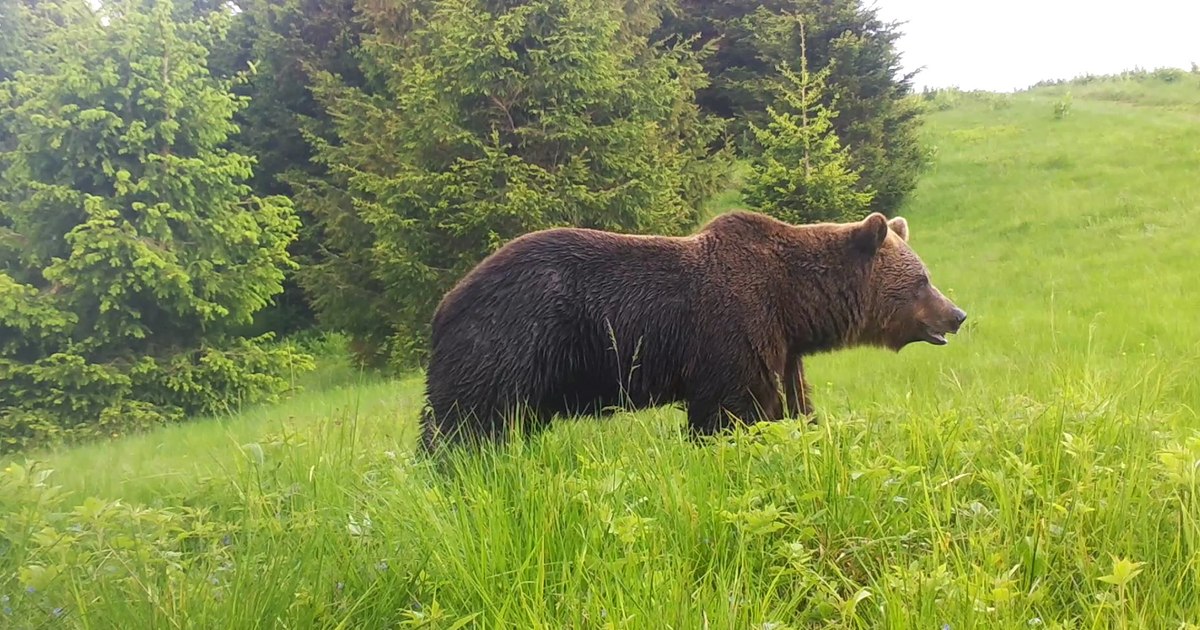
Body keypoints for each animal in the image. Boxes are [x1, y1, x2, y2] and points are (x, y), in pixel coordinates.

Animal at [418, 210, 966, 451]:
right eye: (923, 280)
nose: (957, 314)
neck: (794, 302)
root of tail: (444, 302)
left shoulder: (781, 346)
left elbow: (791, 403)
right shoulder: (733, 328)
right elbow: (730, 409)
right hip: (511, 339)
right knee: (465, 420)